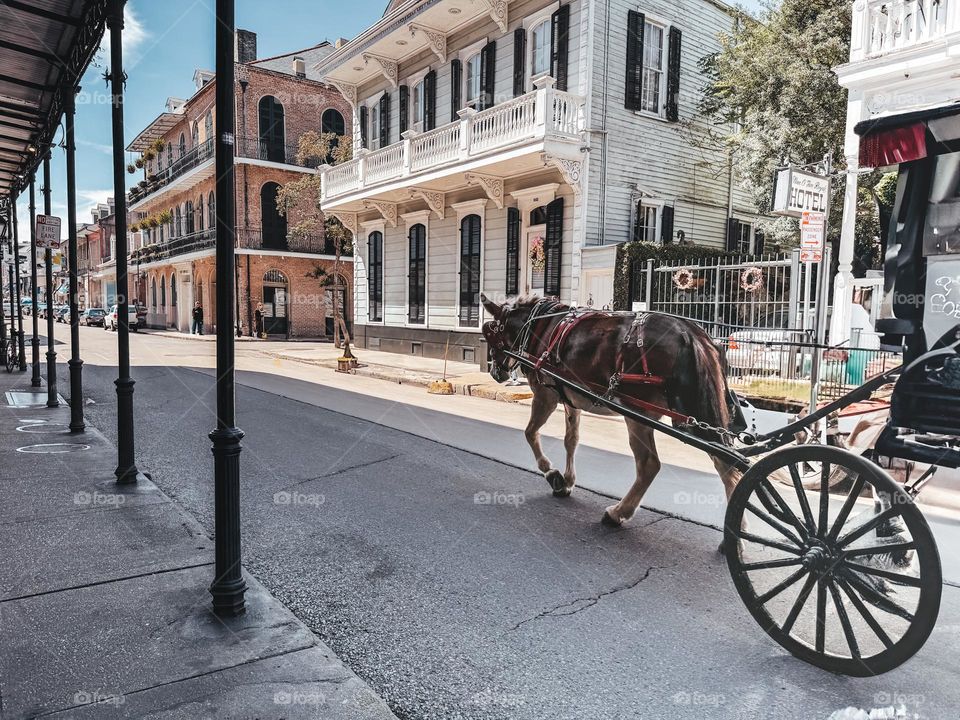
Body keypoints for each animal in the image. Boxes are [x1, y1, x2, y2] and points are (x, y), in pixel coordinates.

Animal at [484, 294, 748, 528]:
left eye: (491, 334)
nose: (496, 373)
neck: (540, 327)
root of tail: (688, 333)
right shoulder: (570, 399)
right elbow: (571, 440)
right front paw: (568, 481)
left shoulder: (545, 395)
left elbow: (530, 433)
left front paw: (553, 475)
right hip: (701, 411)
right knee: (725, 463)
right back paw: (737, 532)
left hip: (639, 414)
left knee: (650, 464)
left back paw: (618, 513)